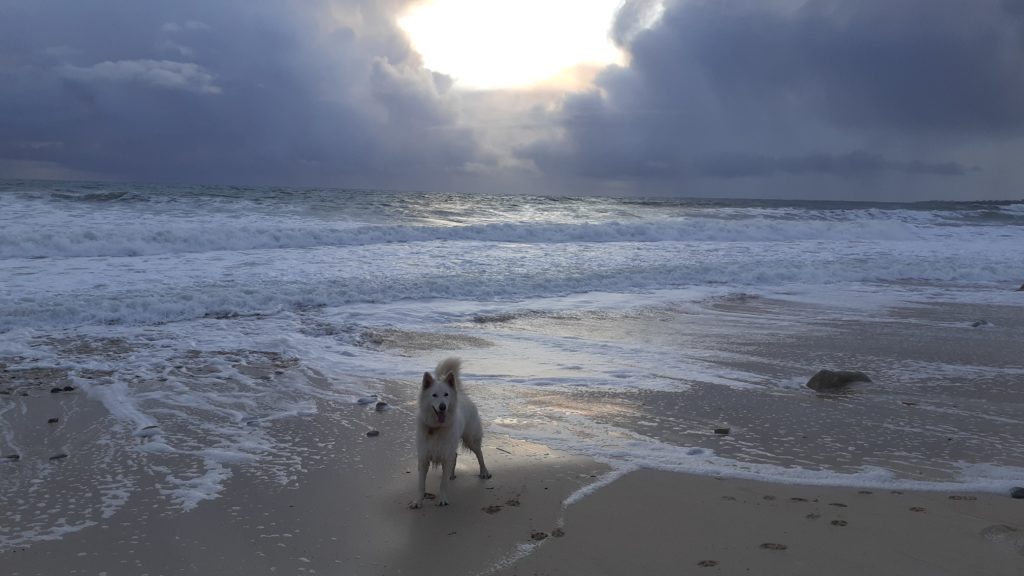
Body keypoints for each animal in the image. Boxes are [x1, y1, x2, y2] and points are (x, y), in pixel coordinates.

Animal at [409, 356, 489, 504]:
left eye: (446, 395)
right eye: (434, 395)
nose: (442, 407)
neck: (436, 427)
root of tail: (462, 393)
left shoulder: (446, 456)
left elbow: (443, 483)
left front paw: (443, 499)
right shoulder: (423, 458)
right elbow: (421, 484)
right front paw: (418, 501)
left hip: (471, 439)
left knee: (479, 454)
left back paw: (484, 472)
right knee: (456, 456)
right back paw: (452, 474)